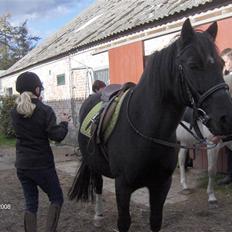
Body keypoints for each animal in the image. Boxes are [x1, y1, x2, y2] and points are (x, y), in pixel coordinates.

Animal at [69, 19, 232, 231]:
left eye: (221, 65)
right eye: (192, 65)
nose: (226, 118)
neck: (146, 129)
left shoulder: (160, 185)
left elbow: (156, 221)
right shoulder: (123, 187)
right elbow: (123, 222)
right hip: (94, 163)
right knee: (97, 186)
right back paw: (98, 215)